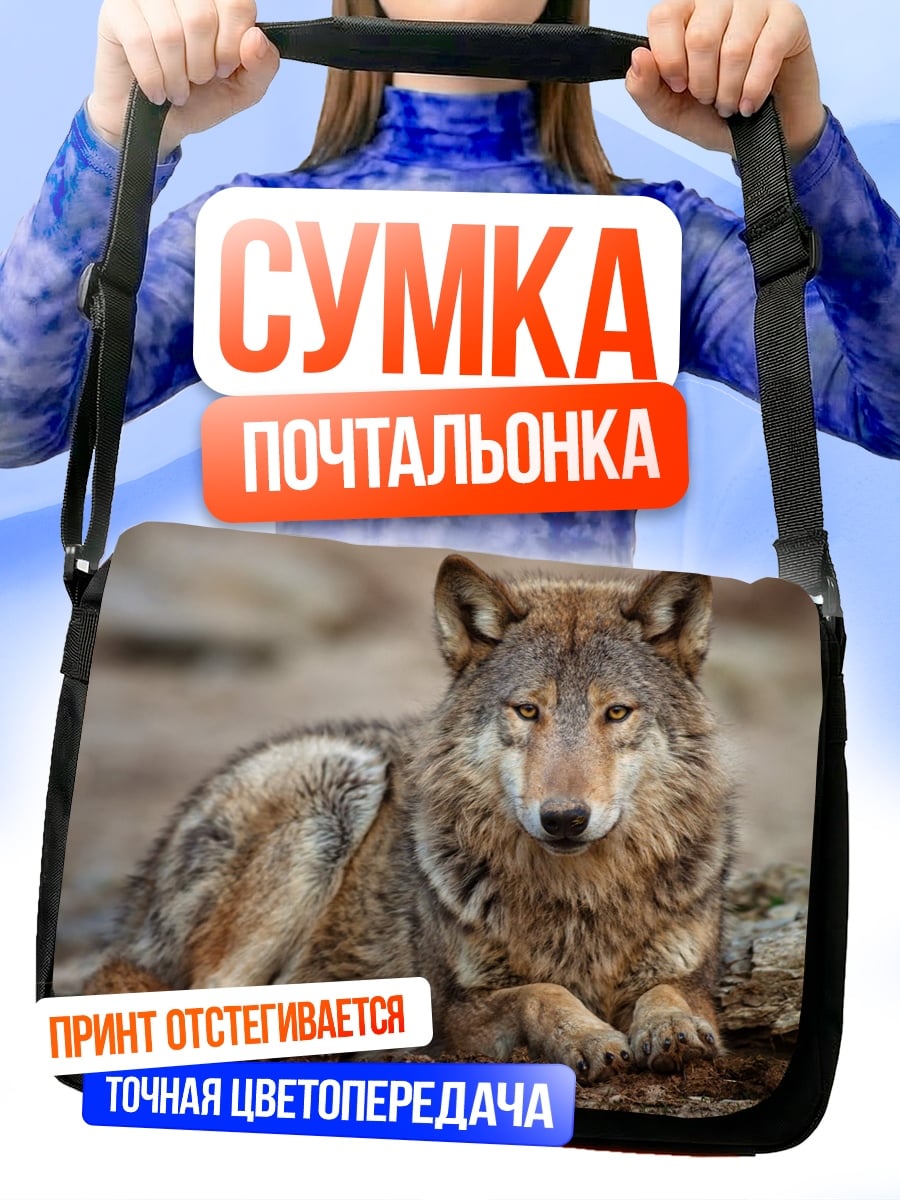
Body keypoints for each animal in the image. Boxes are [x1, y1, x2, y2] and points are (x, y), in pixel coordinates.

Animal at [88, 554, 735, 1083]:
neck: (579, 899)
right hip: (337, 782)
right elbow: (543, 993)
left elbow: (668, 996)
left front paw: (674, 1031)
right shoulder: (455, 1008)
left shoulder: (690, 976)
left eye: (617, 712)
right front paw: (592, 1038)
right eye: (528, 711)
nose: (565, 819)